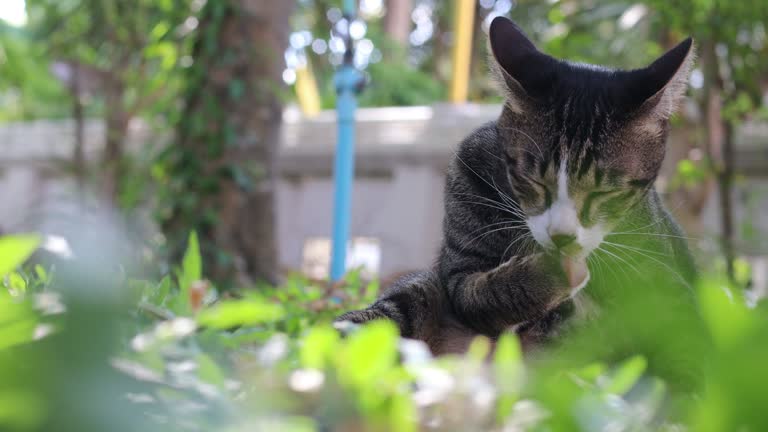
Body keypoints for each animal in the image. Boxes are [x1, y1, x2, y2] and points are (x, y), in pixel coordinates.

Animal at [336, 16, 696, 354]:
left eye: (605, 191)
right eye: (530, 178)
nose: (561, 237)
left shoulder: (667, 280)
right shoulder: (461, 249)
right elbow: (478, 294)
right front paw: (556, 272)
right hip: (413, 294)